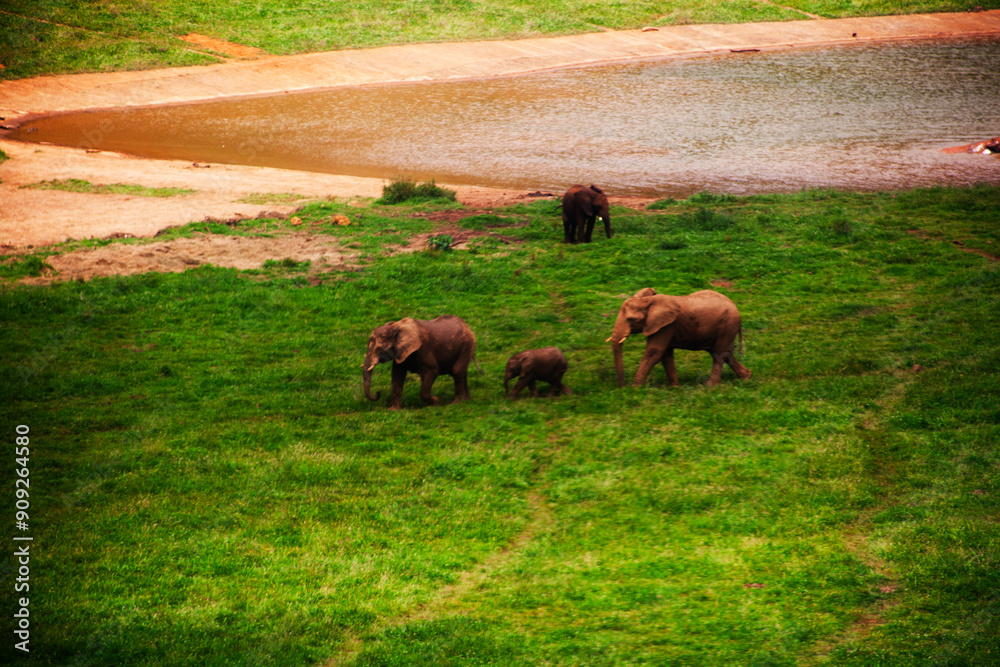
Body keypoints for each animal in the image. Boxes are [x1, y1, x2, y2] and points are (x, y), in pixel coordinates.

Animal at [608, 288, 751, 388]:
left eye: (631, 320)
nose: (622, 387)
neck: (648, 301)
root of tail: (736, 309)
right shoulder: (662, 326)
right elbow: (666, 354)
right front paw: (674, 387)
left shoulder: (666, 326)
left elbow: (654, 352)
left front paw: (635, 388)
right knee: (724, 353)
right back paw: (746, 377)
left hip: (727, 326)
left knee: (719, 354)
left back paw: (709, 387)